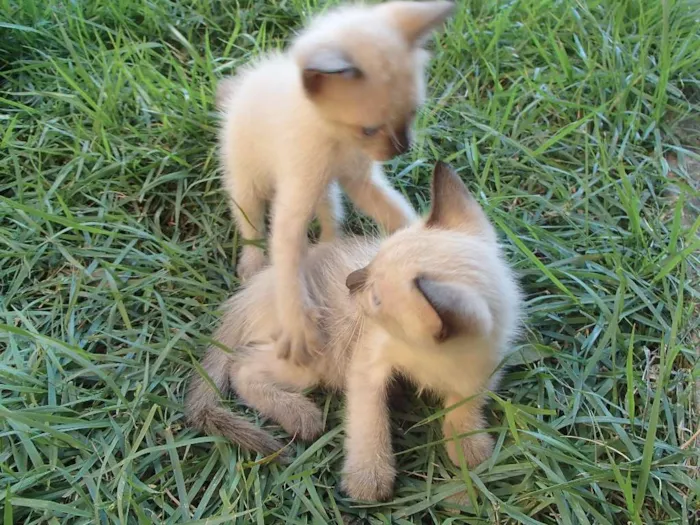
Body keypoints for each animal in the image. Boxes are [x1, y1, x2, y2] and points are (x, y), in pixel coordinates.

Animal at [189, 163, 524, 500]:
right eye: (373, 259)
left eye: (376, 298)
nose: (350, 281)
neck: (430, 357)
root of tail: (248, 293)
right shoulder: (367, 363)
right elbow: (368, 419)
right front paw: (368, 477)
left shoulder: (485, 370)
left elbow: (465, 403)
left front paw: (468, 444)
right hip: (313, 359)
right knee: (241, 369)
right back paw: (300, 415)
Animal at [216, 0, 454, 364]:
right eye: (369, 129)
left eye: (413, 114)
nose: (402, 148)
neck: (336, 142)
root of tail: (244, 83)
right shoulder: (295, 197)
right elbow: (287, 263)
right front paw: (298, 328)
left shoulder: (360, 181)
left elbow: (396, 211)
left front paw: (426, 241)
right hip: (246, 177)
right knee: (250, 220)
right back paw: (253, 262)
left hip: (327, 190)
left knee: (330, 212)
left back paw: (331, 245)